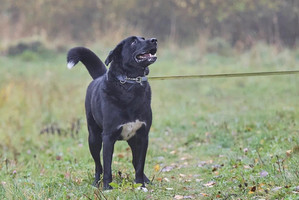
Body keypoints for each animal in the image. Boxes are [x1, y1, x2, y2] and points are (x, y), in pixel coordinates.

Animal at [67, 36, 158, 191]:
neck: (130, 83)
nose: (154, 40)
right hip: (94, 138)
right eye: (133, 42)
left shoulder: (142, 136)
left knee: (135, 161)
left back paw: (146, 180)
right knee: (98, 165)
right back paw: (96, 183)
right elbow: (107, 166)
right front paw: (107, 188)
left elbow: (140, 164)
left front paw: (141, 185)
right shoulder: (108, 137)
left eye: (144, 38)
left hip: (132, 140)